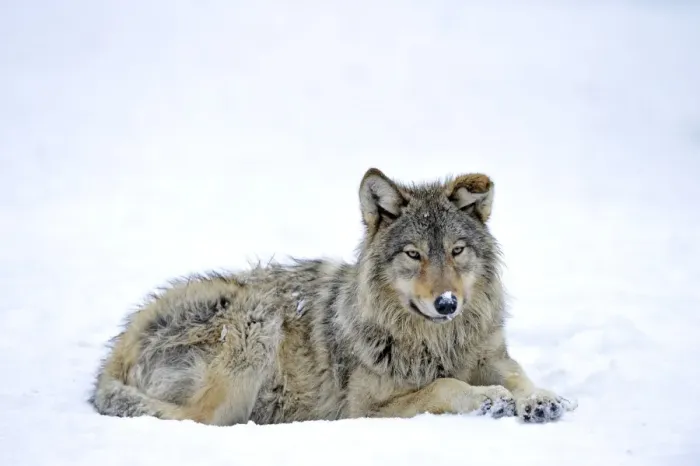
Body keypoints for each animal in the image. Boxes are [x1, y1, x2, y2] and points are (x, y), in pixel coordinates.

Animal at [90, 168, 575, 425]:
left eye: (457, 251)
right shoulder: (362, 411)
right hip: (255, 323)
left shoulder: (492, 357)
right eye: (413, 254)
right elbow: (445, 386)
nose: (447, 304)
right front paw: (488, 398)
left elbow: (519, 377)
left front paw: (539, 398)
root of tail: (116, 351)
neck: (435, 341)